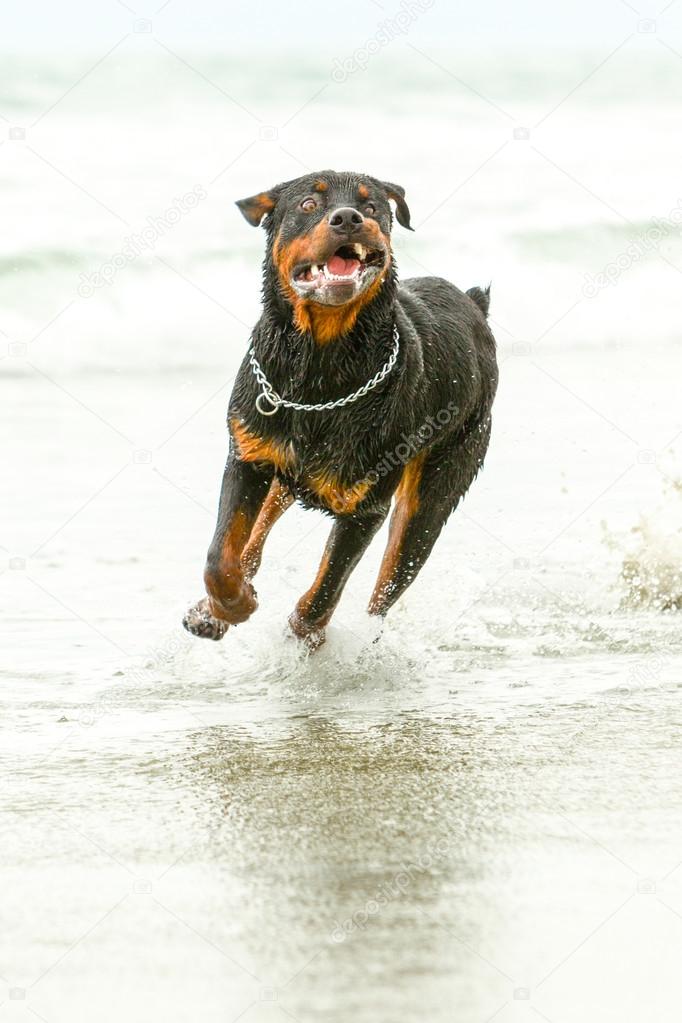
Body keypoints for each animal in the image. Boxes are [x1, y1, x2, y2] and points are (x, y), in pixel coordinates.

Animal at [184, 167, 498, 646]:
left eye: (372, 206)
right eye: (308, 205)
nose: (349, 217)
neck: (320, 365)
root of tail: (474, 305)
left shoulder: (366, 505)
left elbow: (327, 587)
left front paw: (305, 636)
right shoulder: (248, 456)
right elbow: (221, 555)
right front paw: (230, 606)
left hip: (436, 487)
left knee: (388, 584)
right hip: (283, 466)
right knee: (258, 531)